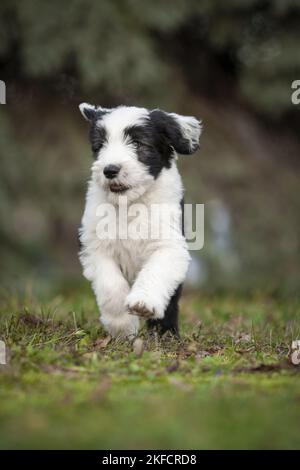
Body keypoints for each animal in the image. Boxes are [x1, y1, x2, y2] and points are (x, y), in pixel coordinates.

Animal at [79, 104, 202, 336]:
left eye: (138, 143)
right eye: (100, 145)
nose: (110, 170)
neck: (131, 204)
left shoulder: (169, 245)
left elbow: (154, 271)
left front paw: (143, 303)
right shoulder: (95, 247)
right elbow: (111, 285)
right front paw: (122, 326)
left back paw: (165, 333)